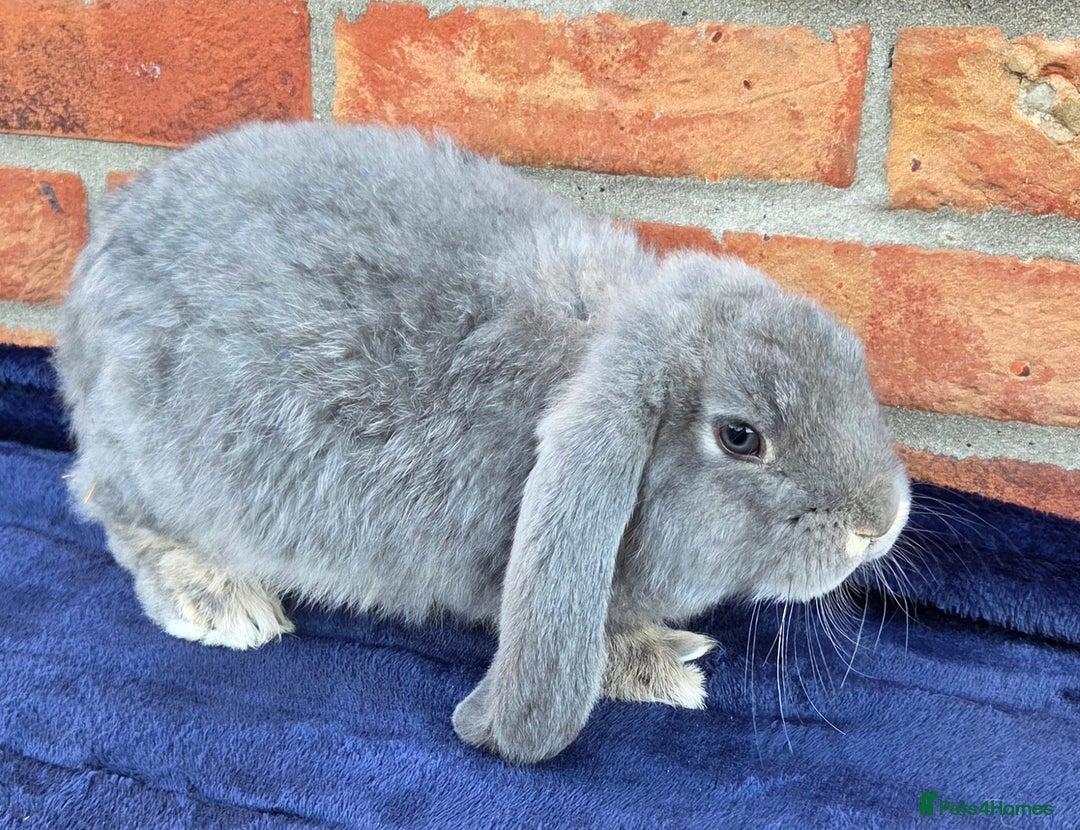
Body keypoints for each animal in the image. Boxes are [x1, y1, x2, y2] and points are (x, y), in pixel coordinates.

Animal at [54, 121, 910, 765]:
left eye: (851, 358)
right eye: (740, 437)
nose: (883, 523)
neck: (588, 351)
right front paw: (660, 665)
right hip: (157, 467)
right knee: (110, 508)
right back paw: (219, 601)